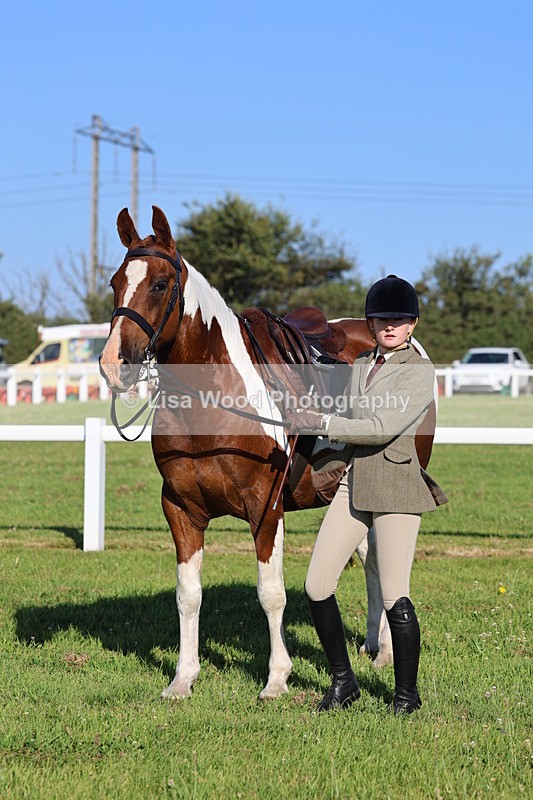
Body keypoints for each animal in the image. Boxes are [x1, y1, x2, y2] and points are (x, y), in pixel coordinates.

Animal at [99, 205, 435, 700]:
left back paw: (387, 651)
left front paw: (277, 678)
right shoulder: (180, 508)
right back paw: (375, 645)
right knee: (370, 559)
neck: (214, 399)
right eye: (115, 283)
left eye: (160, 284)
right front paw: (183, 678)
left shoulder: (265, 508)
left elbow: (271, 593)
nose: (113, 364)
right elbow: (188, 595)